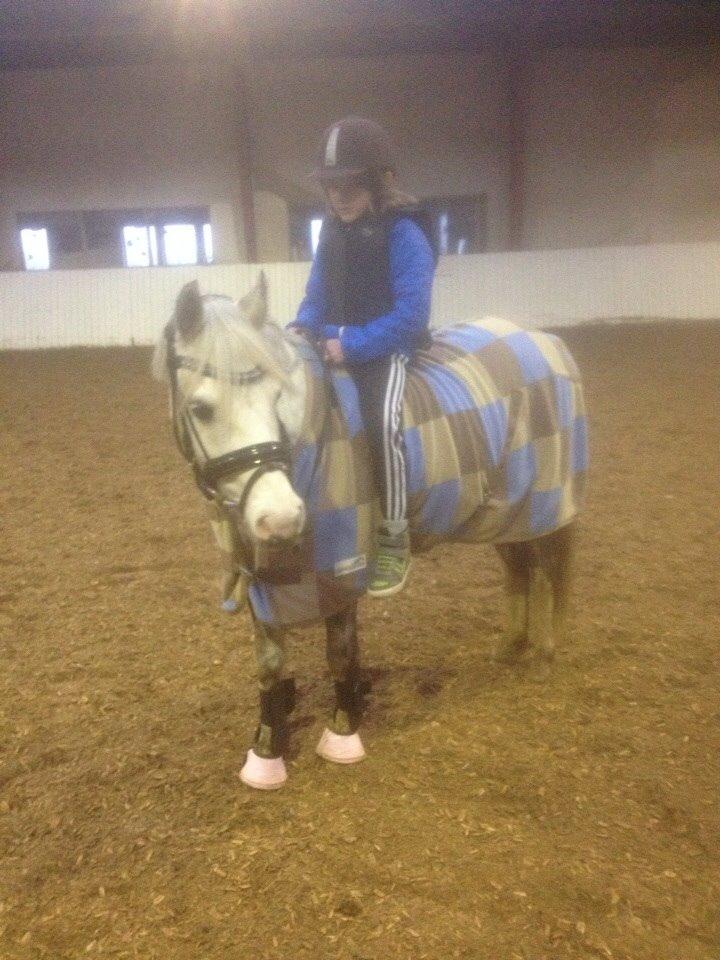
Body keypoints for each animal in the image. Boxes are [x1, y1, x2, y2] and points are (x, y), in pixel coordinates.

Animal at [152, 275, 587, 790]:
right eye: (200, 408)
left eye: (276, 397)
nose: (281, 518)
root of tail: (548, 342)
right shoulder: (259, 571)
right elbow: (270, 663)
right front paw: (267, 748)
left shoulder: (341, 565)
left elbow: (340, 652)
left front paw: (344, 728)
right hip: (506, 510)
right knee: (519, 569)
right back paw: (510, 648)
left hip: (545, 503)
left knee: (547, 573)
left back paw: (542, 656)